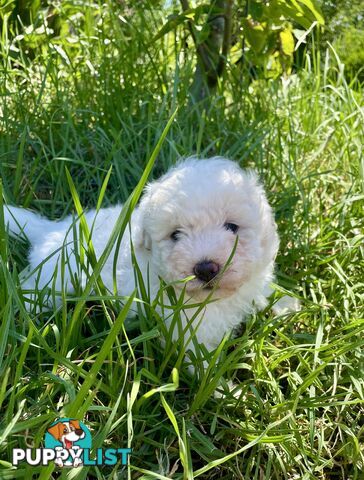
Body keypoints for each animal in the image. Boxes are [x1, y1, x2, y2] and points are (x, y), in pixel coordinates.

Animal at [4, 159, 280, 358]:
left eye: (232, 227)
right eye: (176, 235)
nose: (205, 268)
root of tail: (53, 229)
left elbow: (263, 295)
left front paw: (283, 305)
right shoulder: (187, 332)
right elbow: (202, 364)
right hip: (52, 280)